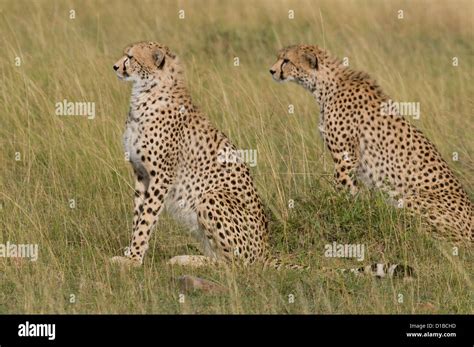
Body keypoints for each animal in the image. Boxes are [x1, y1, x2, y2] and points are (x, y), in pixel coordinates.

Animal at [268, 44, 472, 243]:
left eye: (286, 60)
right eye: (279, 57)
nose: (271, 71)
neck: (324, 85)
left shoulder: (346, 158)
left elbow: (342, 189)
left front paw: (338, 211)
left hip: (413, 198)